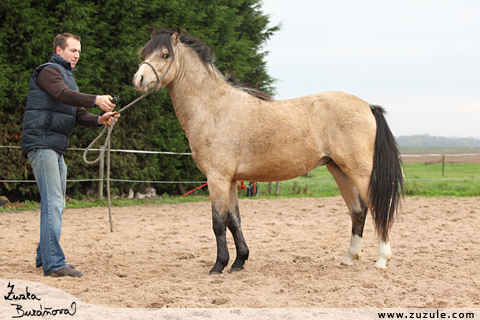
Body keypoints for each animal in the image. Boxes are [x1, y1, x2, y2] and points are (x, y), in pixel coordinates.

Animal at [132, 28, 404, 276]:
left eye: (165, 54)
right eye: (145, 53)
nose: (138, 79)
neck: (213, 108)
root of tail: (368, 106)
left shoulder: (217, 178)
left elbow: (218, 223)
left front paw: (219, 265)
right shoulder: (231, 180)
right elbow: (234, 221)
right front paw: (239, 262)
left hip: (359, 170)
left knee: (377, 207)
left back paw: (382, 260)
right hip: (338, 169)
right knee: (358, 210)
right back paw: (349, 258)